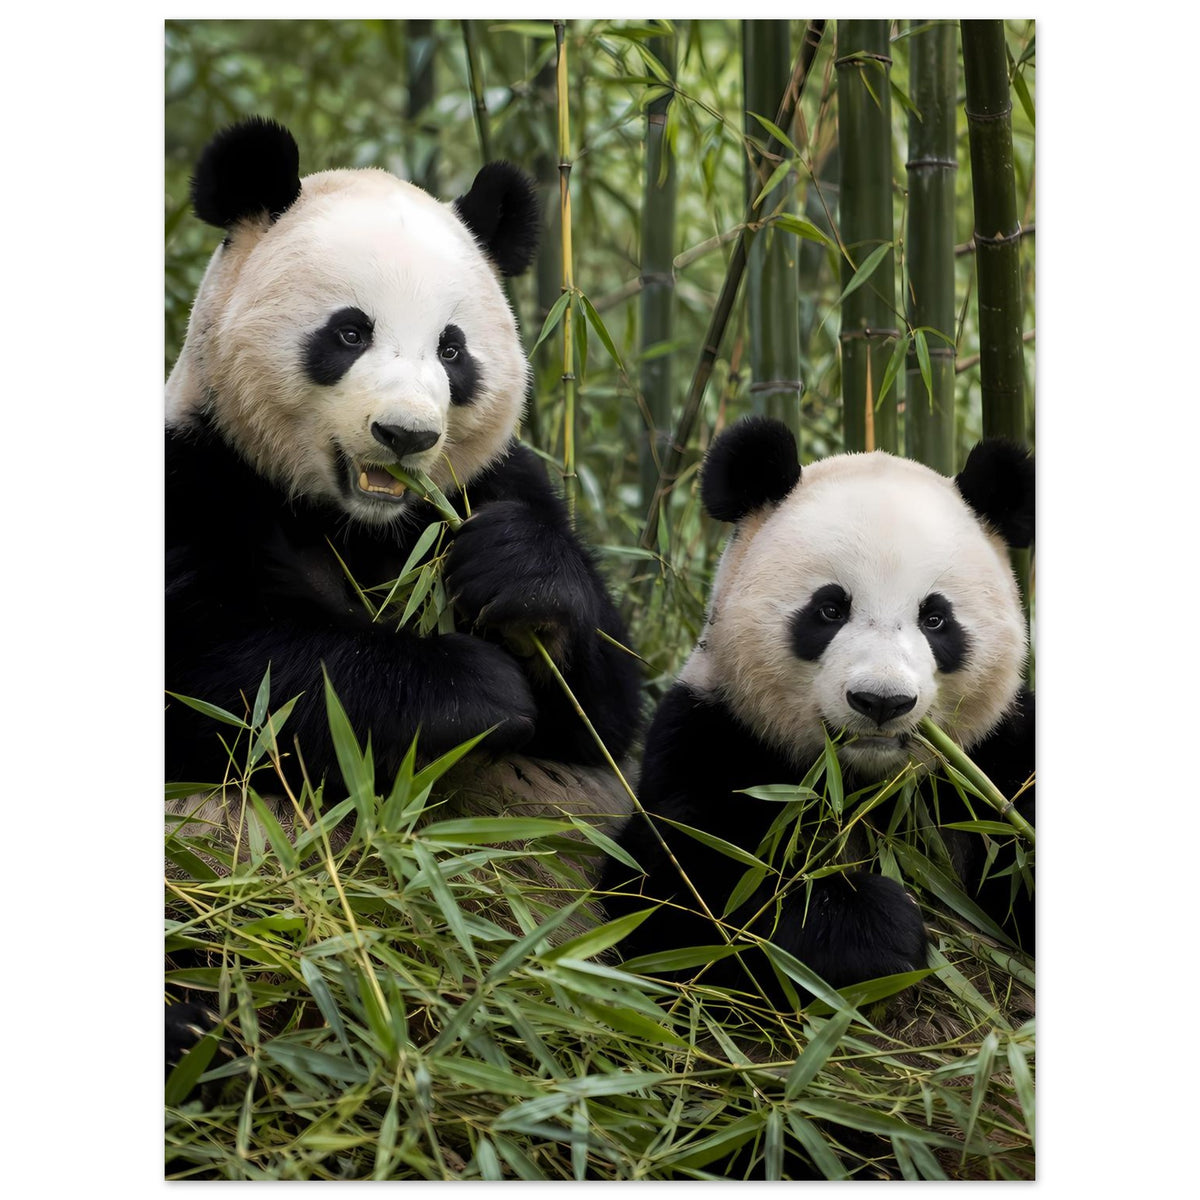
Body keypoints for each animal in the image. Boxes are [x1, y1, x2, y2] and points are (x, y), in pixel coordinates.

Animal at [165, 118, 641, 1066]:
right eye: (349, 332)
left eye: (452, 349)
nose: (406, 435)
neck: (358, 523)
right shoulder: (195, 476)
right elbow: (229, 680)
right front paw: (474, 689)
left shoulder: (489, 485)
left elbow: (603, 719)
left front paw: (519, 580)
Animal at [601, 415, 1034, 1005]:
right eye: (830, 609)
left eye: (936, 619)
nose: (881, 701)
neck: (861, 786)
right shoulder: (714, 733)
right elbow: (685, 890)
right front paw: (872, 927)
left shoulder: (995, 761)